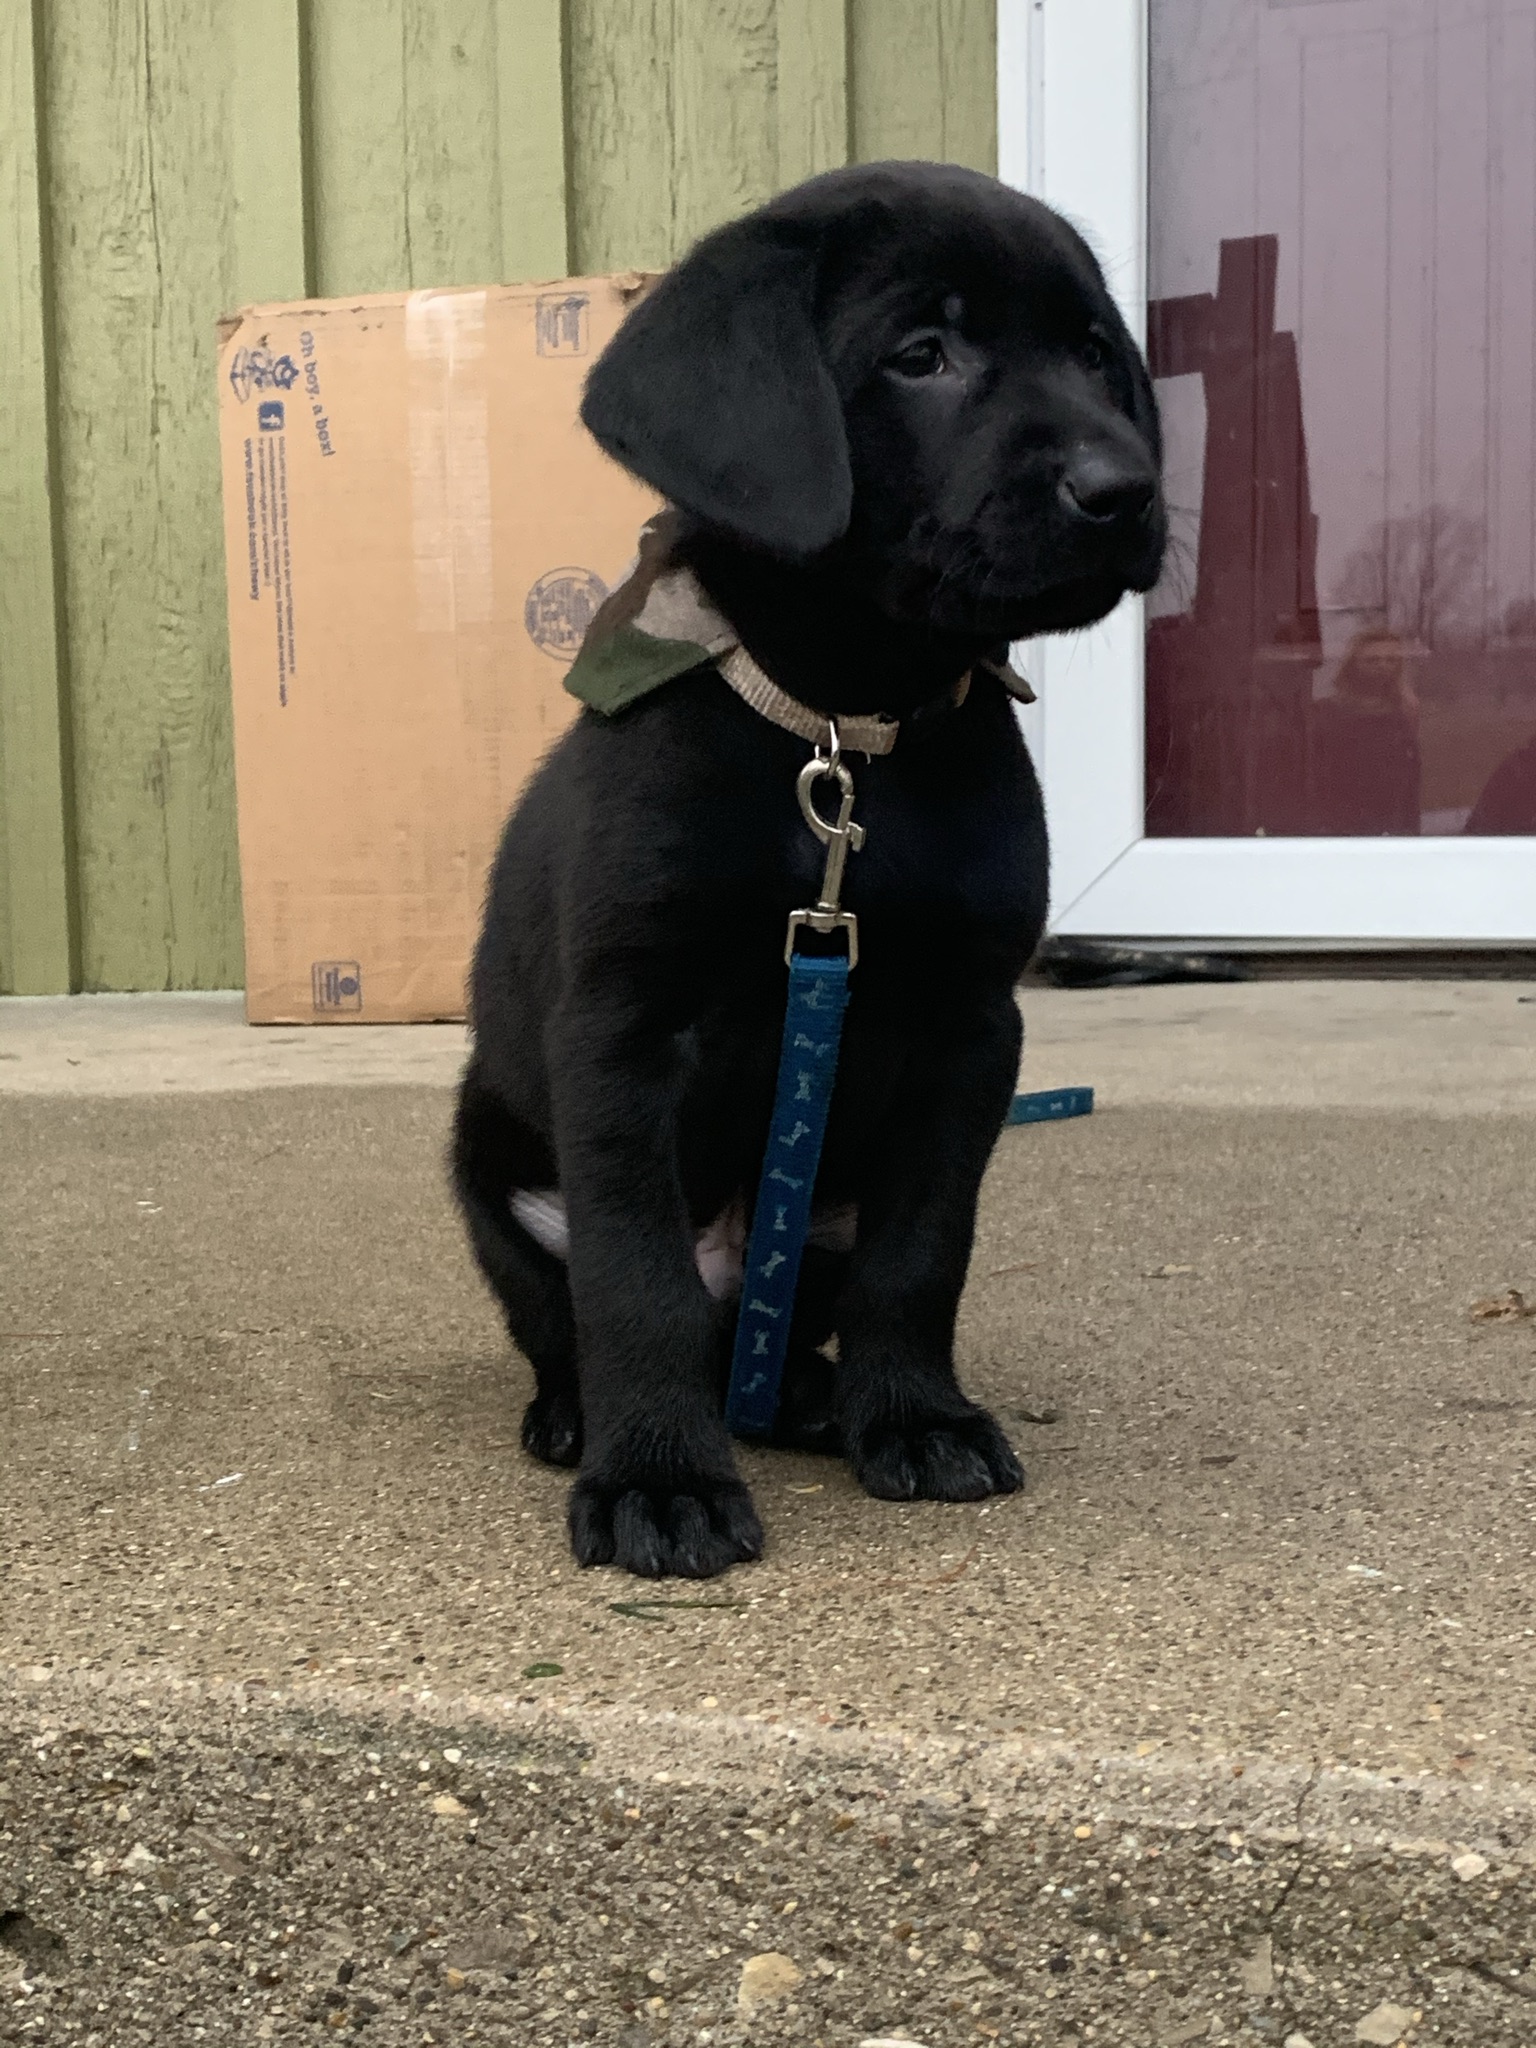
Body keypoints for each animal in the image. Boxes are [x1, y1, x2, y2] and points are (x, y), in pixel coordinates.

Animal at [456, 163, 1163, 1581]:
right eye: (921, 354)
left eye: (1094, 356)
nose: (1129, 488)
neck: (845, 729)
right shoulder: (620, 1028)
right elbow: (636, 1280)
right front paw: (660, 1477)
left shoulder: (969, 1029)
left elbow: (922, 1250)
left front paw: (917, 1416)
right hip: (487, 1162)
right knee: (579, 1313)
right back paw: (584, 1417)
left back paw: (815, 1395)